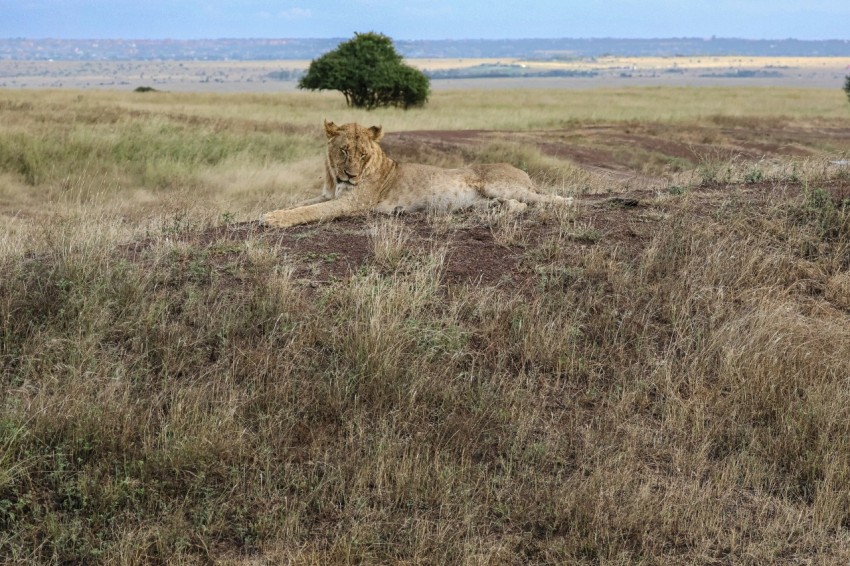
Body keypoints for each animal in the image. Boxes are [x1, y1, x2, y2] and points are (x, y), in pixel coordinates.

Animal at [260, 120, 568, 229]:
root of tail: (523, 173)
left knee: (544, 200)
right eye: (344, 151)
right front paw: (267, 212)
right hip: (487, 198)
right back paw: (494, 211)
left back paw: (565, 202)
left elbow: (309, 211)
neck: (335, 180)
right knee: (516, 206)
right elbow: (299, 204)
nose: (351, 176)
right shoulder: (326, 194)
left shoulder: (353, 203)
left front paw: (274, 220)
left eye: (363, 154)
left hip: (500, 186)